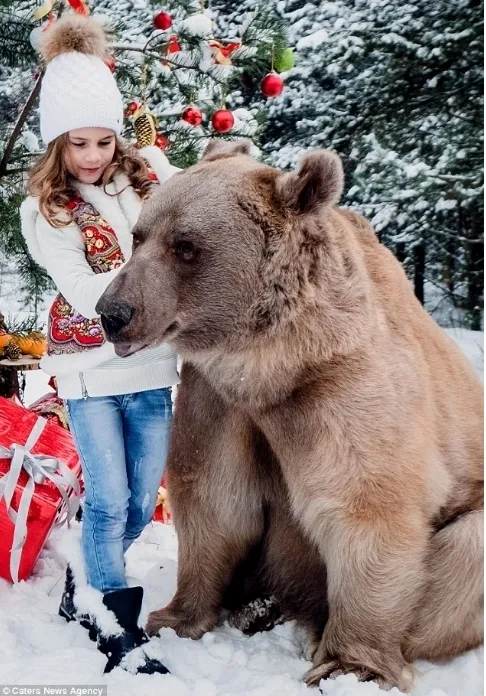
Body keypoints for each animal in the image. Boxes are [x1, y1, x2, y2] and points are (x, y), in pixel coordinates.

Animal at [95, 140, 482, 692]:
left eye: (186, 246)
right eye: (139, 235)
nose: (114, 313)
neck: (271, 367)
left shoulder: (341, 391)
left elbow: (367, 509)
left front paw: (350, 664)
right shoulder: (219, 401)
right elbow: (215, 498)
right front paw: (171, 616)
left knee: (463, 559)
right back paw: (259, 605)